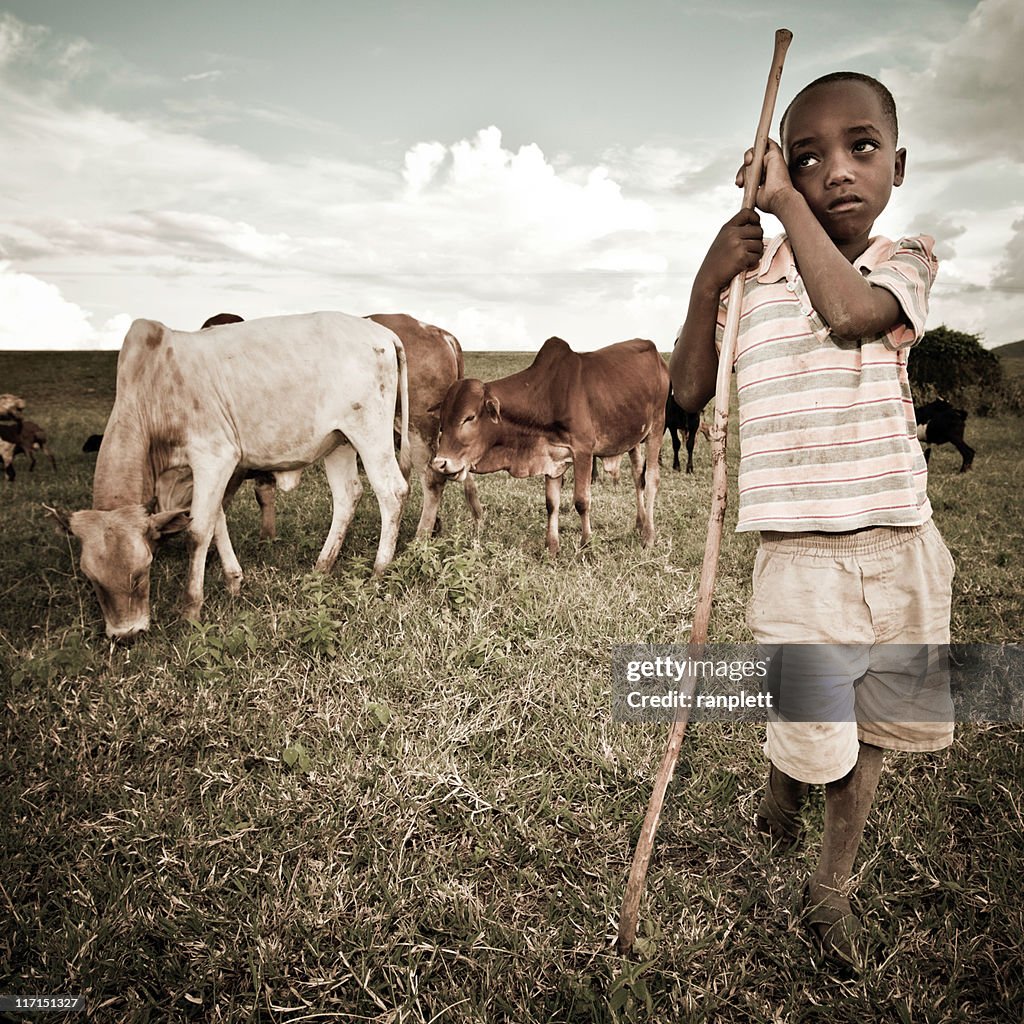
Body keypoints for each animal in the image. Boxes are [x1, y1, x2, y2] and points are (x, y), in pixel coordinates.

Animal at [50, 309, 411, 638]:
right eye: (92, 579)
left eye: (142, 570)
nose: (126, 634)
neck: (153, 390)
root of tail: (381, 333)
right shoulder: (205, 473)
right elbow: (215, 521)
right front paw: (234, 582)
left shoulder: (214, 457)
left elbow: (198, 532)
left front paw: (191, 609)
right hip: (339, 442)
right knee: (347, 495)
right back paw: (322, 567)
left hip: (368, 432)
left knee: (391, 491)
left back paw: (379, 570)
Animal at [432, 337, 671, 557]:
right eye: (442, 420)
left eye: (469, 417)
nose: (439, 463)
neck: (548, 395)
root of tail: (656, 354)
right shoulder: (551, 457)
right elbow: (551, 503)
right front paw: (552, 547)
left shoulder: (583, 450)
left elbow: (582, 501)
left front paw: (587, 545)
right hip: (633, 440)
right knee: (637, 477)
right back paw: (640, 524)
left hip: (657, 427)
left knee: (651, 479)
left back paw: (648, 536)